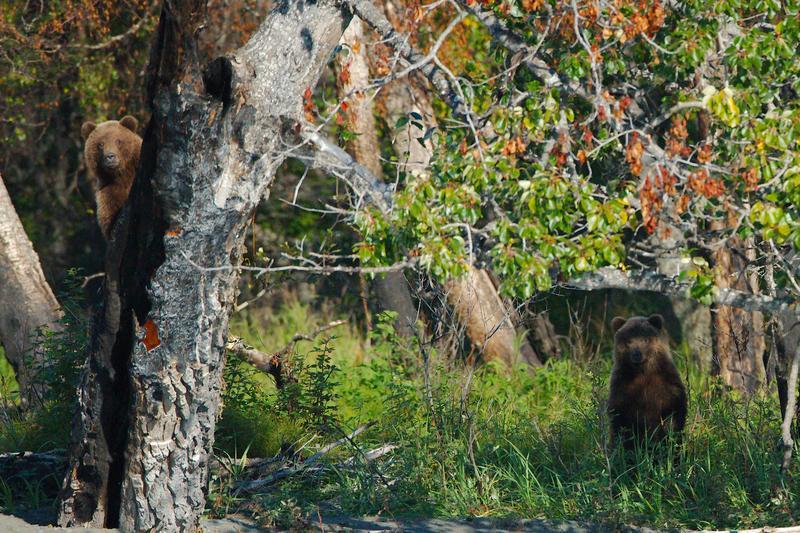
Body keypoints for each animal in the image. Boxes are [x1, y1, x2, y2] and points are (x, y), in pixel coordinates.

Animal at [608, 314, 684, 450]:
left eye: (645, 340)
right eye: (629, 341)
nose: (637, 354)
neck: (643, 371)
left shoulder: (666, 381)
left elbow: (674, 409)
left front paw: (669, 431)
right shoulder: (622, 384)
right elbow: (619, 415)